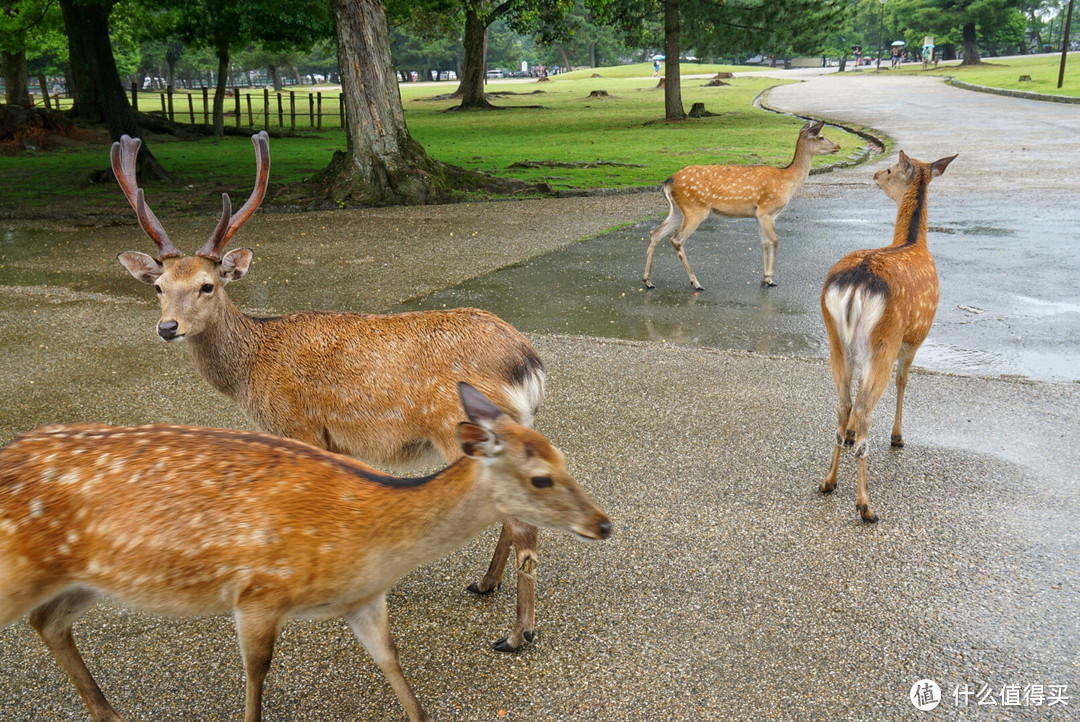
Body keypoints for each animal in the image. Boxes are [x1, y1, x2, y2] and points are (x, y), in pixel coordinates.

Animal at [0, 382, 613, 720]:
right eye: (540, 478)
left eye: (562, 458)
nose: (604, 524)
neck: (370, 543)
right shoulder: (259, 592)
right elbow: (256, 674)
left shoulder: (363, 600)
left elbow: (392, 663)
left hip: (87, 578)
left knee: (49, 620)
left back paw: (110, 713)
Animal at [112, 131, 548, 651]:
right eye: (158, 286)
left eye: (207, 286)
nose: (167, 327)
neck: (253, 371)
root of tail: (527, 359)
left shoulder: (298, 425)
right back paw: (485, 584)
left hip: (460, 426)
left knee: (524, 525)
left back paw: (518, 634)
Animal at [639, 119, 842, 289]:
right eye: (821, 136)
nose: (838, 145)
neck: (787, 181)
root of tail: (668, 182)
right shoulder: (767, 209)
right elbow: (774, 240)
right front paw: (770, 277)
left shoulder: (758, 214)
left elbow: (764, 242)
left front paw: (765, 277)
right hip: (695, 207)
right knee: (676, 239)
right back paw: (695, 282)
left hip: (677, 210)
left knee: (655, 233)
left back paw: (648, 280)